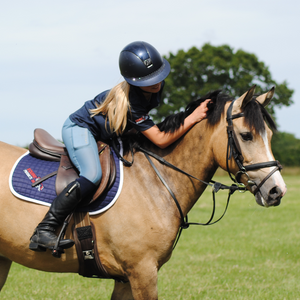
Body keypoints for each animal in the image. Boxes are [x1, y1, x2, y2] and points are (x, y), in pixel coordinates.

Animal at [0, 85, 286, 298]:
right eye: (247, 135)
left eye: (270, 136)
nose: (276, 191)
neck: (153, 183)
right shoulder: (142, 272)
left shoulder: (126, 278)